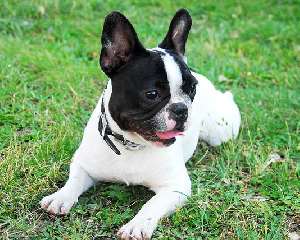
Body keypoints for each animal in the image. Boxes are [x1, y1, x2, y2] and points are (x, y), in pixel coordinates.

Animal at [40, 8, 241, 239]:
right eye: (152, 94)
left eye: (192, 88)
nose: (181, 109)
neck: (131, 144)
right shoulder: (83, 164)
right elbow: (73, 180)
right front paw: (60, 197)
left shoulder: (175, 186)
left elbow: (152, 204)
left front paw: (137, 225)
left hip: (221, 130)